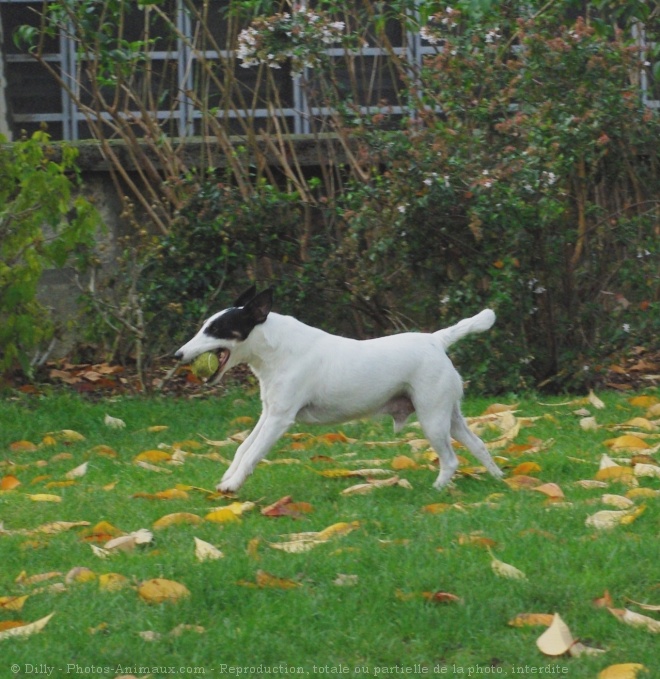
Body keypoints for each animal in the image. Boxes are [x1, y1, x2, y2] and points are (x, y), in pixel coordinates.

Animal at [173, 286, 502, 494]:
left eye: (216, 329)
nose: (177, 355)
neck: (276, 349)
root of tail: (436, 340)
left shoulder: (279, 419)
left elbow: (254, 453)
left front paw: (233, 485)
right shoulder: (268, 413)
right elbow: (243, 448)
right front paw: (229, 475)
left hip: (432, 418)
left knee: (451, 460)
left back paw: (436, 489)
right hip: (449, 415)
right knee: (478, 445)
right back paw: (499, 478)